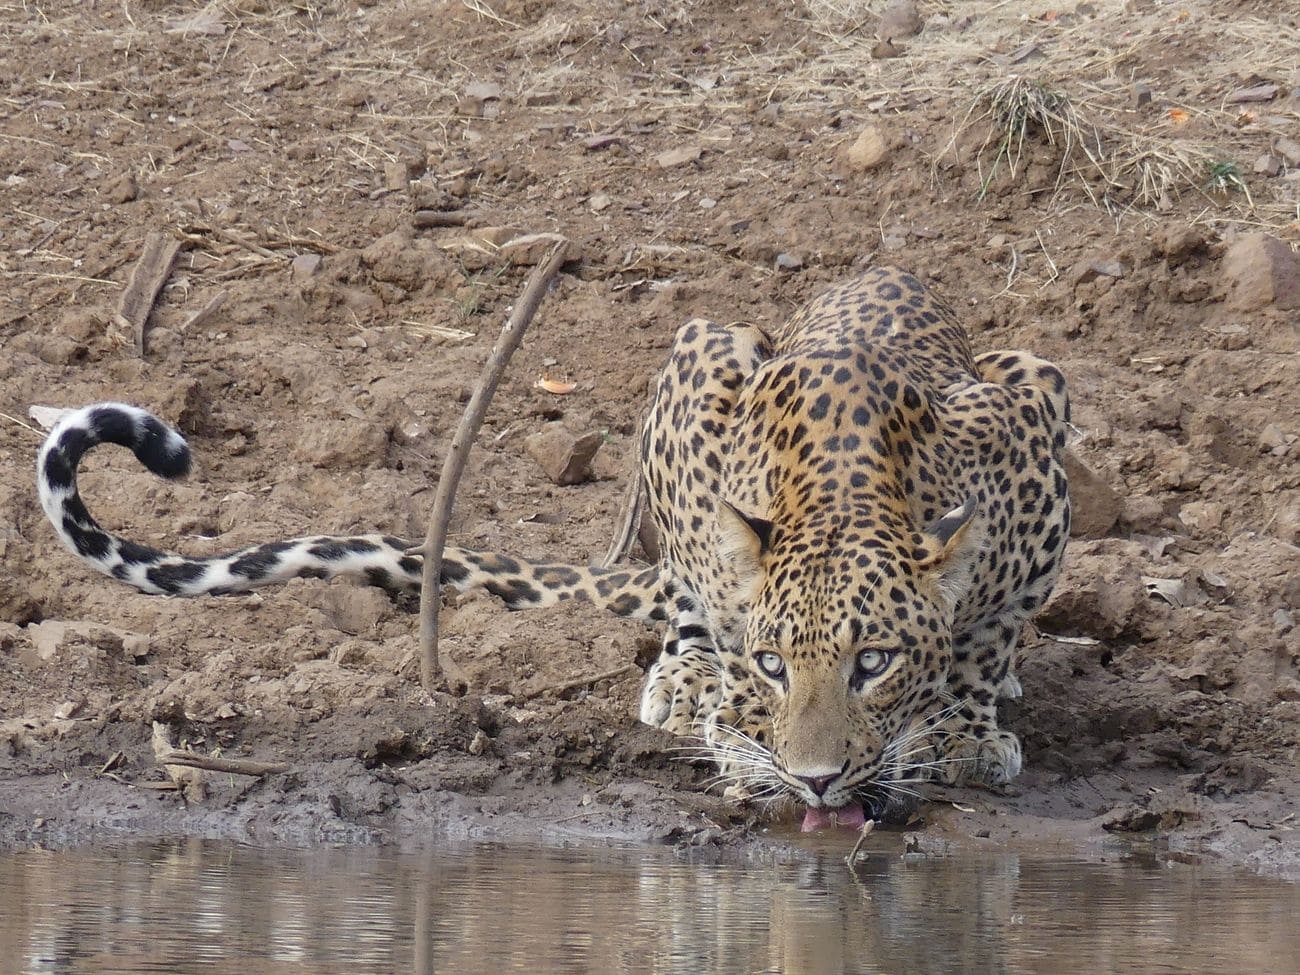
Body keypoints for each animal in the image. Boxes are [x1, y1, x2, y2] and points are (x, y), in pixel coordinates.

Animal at [35, 265, 1071, 826]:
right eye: (779, 664)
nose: (817, 783)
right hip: (707, 342)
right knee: (683, 584)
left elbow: (985, 637)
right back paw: (684, 674)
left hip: (1018, 361)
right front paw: (742, 736)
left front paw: (966, 728)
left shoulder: (1034, 424)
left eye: (875, 661)